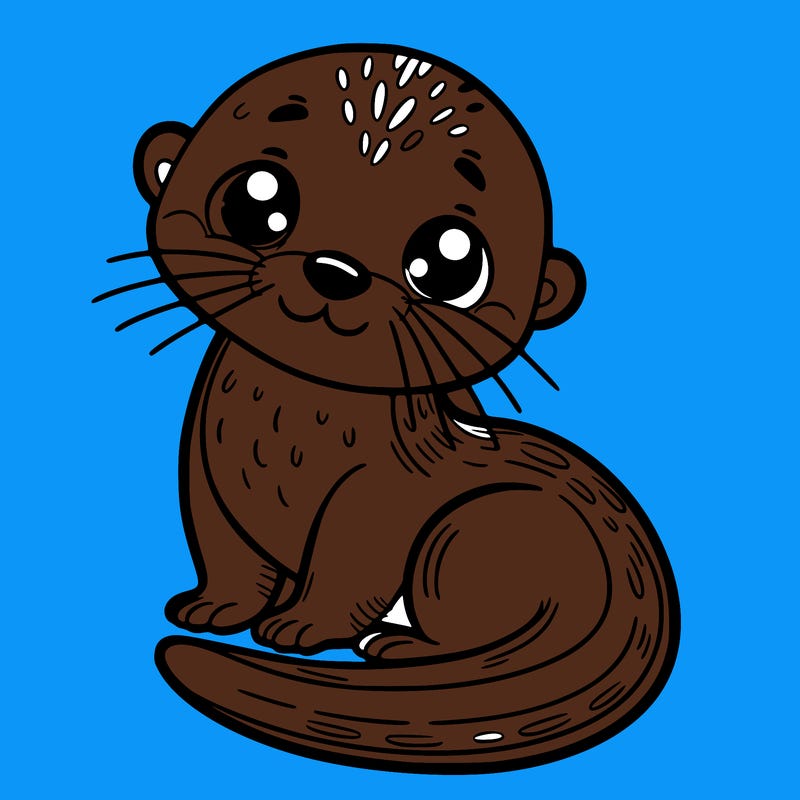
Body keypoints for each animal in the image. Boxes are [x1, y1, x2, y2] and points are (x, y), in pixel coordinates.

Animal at [103, 45, 679, 773]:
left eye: (450, 261)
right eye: (256, 199)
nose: (335, 270)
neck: (283, 434)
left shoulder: (379, 494)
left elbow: (350, 564)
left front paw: (301, 626)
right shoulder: (205, 471)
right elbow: (223, 549)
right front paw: (213, 608)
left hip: (472, 530)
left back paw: (400, 647)